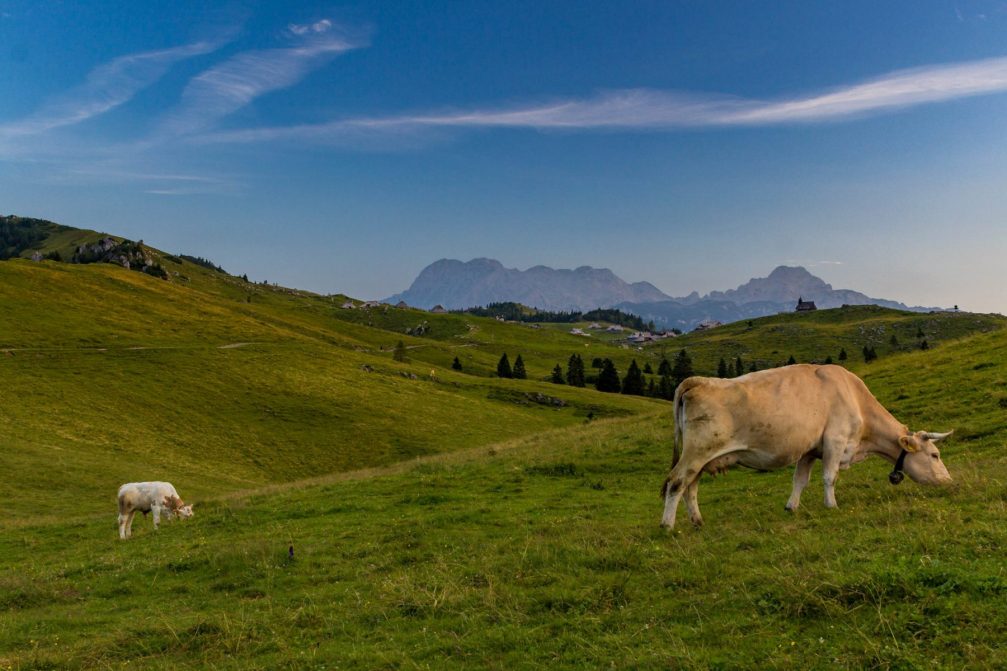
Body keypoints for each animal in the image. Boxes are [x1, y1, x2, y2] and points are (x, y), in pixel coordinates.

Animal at [660, 362, 950, 531]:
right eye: (935, 455)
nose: (948, 481)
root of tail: (696, 381)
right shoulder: (835, 440)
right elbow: (829, 477)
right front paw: (832, 505)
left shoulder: (810, 449)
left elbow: (800, 480)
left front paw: (792, 507)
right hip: (696, 452)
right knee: (676, 483)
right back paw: (667, 525)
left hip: (702, 458)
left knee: (690, 487)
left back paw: (697, 521)